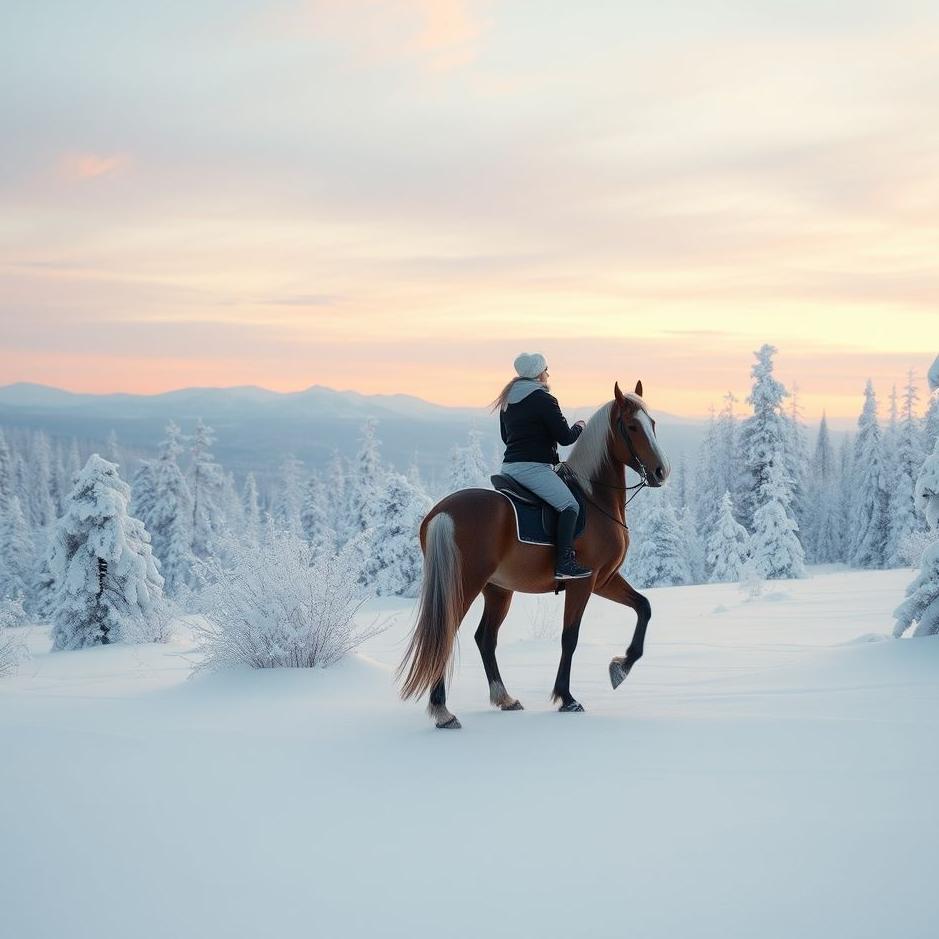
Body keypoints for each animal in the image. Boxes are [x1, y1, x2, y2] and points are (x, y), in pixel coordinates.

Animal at [398, 380, 671, 728]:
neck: (594, 497)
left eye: (653, 424)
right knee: (447, 637)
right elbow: (570, 638)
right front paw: (567, 697)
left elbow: (644, 608)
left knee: (485, 638)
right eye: (633, 427)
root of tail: (442, 513)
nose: (661, 472)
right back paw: (443, 711)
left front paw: (620, 667)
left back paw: (504, 698)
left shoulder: (604, 580)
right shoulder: (583, 582)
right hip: (465, 585)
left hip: (498, 590)